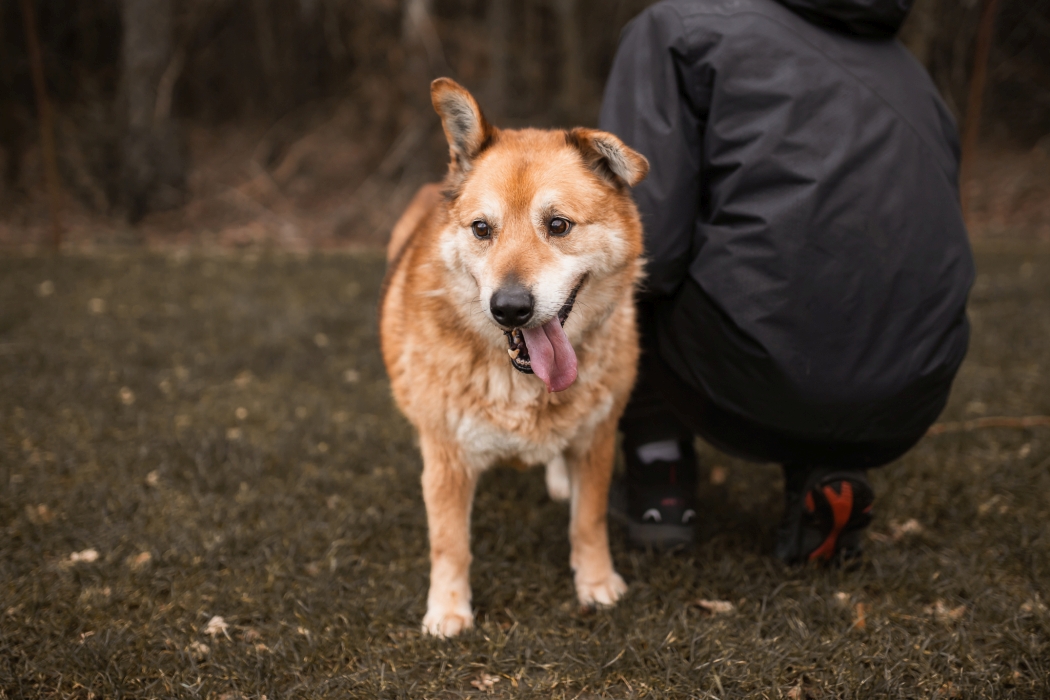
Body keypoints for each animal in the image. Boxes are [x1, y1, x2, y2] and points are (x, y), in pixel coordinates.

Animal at [380, 78, 648, 637]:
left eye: (559, 225)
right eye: (482, 229)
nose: (508, 308)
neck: (518, 381)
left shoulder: (597, 437)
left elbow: (588, 522)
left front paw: (596, 585)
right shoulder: (446, 455)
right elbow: (449, 542)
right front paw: (448, 610)